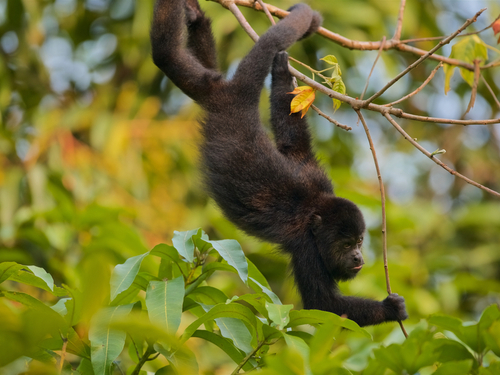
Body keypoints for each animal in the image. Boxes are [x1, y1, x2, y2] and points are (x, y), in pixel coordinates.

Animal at [150, 0, 408, 326]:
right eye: (347, 245)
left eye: (361, 241)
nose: (359, 257)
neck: (316, 210)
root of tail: (236, 98)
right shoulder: (307, 249)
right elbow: (324, 305)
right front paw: (391, 308)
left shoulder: (315, 175)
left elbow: (293, 142)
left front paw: (283, 73)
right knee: (164, 53)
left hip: (209, 86)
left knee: (173, 58)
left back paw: (198, 18)